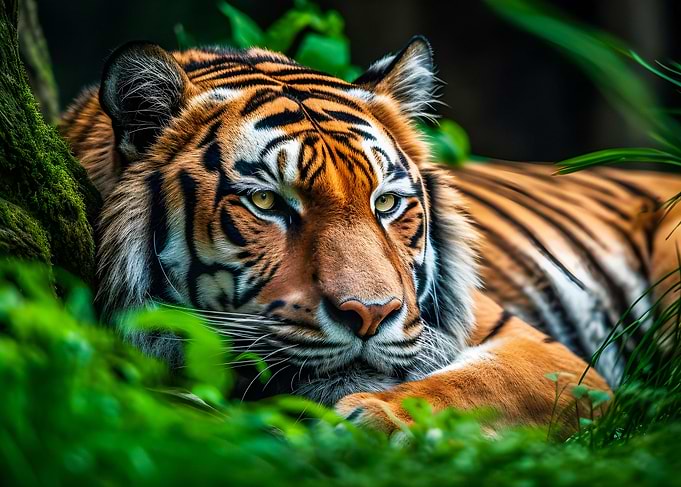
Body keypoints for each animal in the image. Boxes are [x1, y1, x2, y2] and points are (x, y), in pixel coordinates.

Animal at [59, 36, 681, 435]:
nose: (371, 314)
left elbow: (474, 385)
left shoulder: (548, 356)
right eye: (267, 202)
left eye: (386, 203)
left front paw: (371, 419)